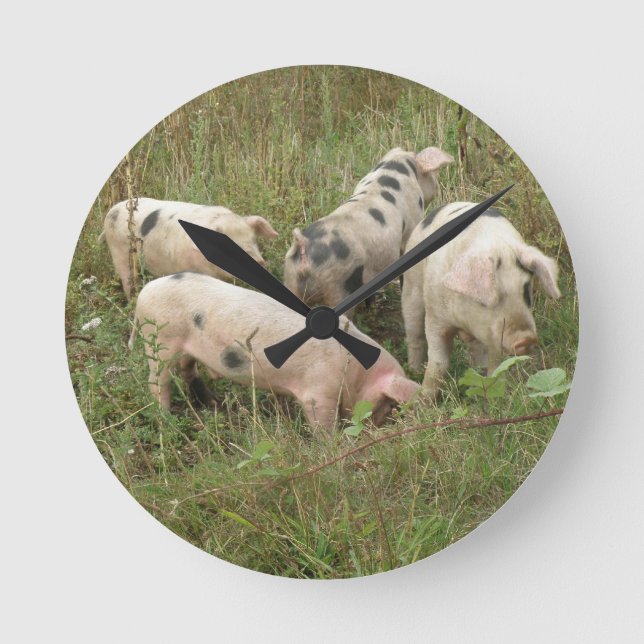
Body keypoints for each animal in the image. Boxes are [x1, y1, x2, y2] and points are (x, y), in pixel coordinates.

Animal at [100, 197, 278, 298]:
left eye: (253, 238)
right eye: (224, 246)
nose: (258, 261)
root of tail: (112, 210)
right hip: (119, 252)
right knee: (127, 279)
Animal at [130, 272, 420, 429]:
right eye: (388, 404)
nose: (375, 428)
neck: (356, 373)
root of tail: (145, 291)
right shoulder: (318, 393)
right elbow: (322, 424)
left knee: (187, 369)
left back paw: (212, 402)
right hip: (160, 341)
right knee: (157, 382)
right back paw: (166, 418)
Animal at [283, 147, 453, 309]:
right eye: (431, 173)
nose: (437, 186)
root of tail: (303, 244)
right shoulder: (411, 223)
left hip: (290, 278)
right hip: (338, 285)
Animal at [401, 202, 561, 397]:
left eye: (526, 292)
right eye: (488, 299)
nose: (526, 339)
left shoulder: (492, 335)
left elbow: (496, 366)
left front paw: (495, 395)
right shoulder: (436, 317)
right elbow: (438, 363)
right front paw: (422, 399)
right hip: (412, 288)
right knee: (414, 334)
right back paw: (413, 371)